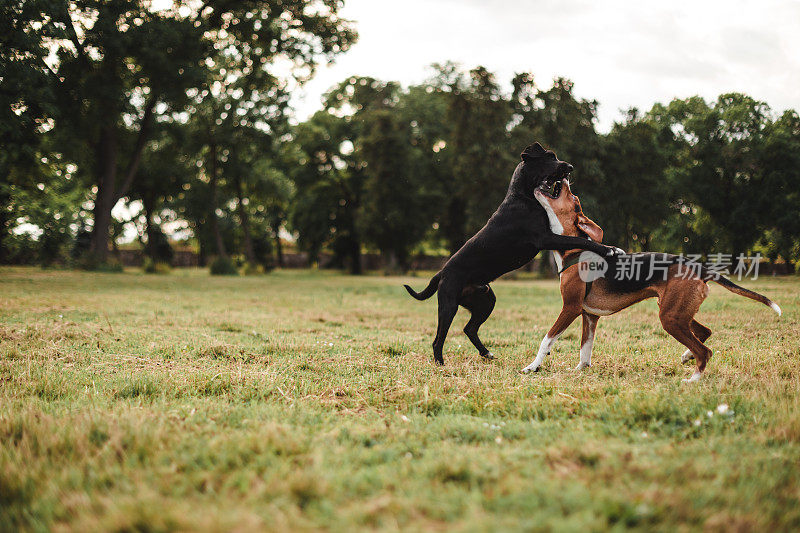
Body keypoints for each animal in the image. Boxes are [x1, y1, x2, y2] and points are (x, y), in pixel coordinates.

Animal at [406, 143, 620, 364]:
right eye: (550, 157)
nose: (570, 167)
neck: (523, 197)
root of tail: (442, 272)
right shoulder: (545, 238)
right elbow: (579, 240)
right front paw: (609, 249)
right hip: (449, 305)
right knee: (438, 339)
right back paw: (440, 363)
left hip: (486, 301)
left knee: (469, 328)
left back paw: (486, 353)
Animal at [520, 181, 780, 380]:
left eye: (573, 197)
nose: (564, 180)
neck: (575, 249)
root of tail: (699, 267)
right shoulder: (590, 316)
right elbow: (585, 350)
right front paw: (580, 371)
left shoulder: (571, 308)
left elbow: (546, 340)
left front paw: (533, 366)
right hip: (677, 312)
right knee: (704, 333)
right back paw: (687, 356)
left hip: (670, 318)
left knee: (704, 351)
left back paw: (693, 379)